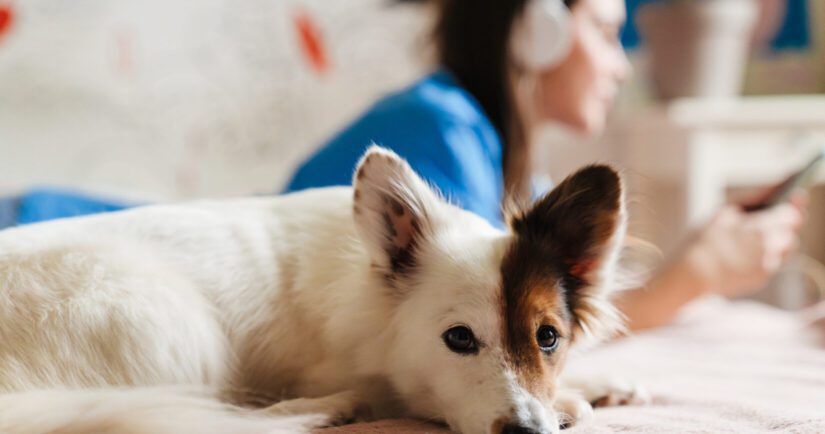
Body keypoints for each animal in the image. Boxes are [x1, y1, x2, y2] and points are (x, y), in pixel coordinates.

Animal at [0, 147, 644, 434]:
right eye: (459, 339)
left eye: (548, 338)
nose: (528, 432)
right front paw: (574, 400)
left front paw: (598, 384)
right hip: (167, 314)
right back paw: (325, 410)